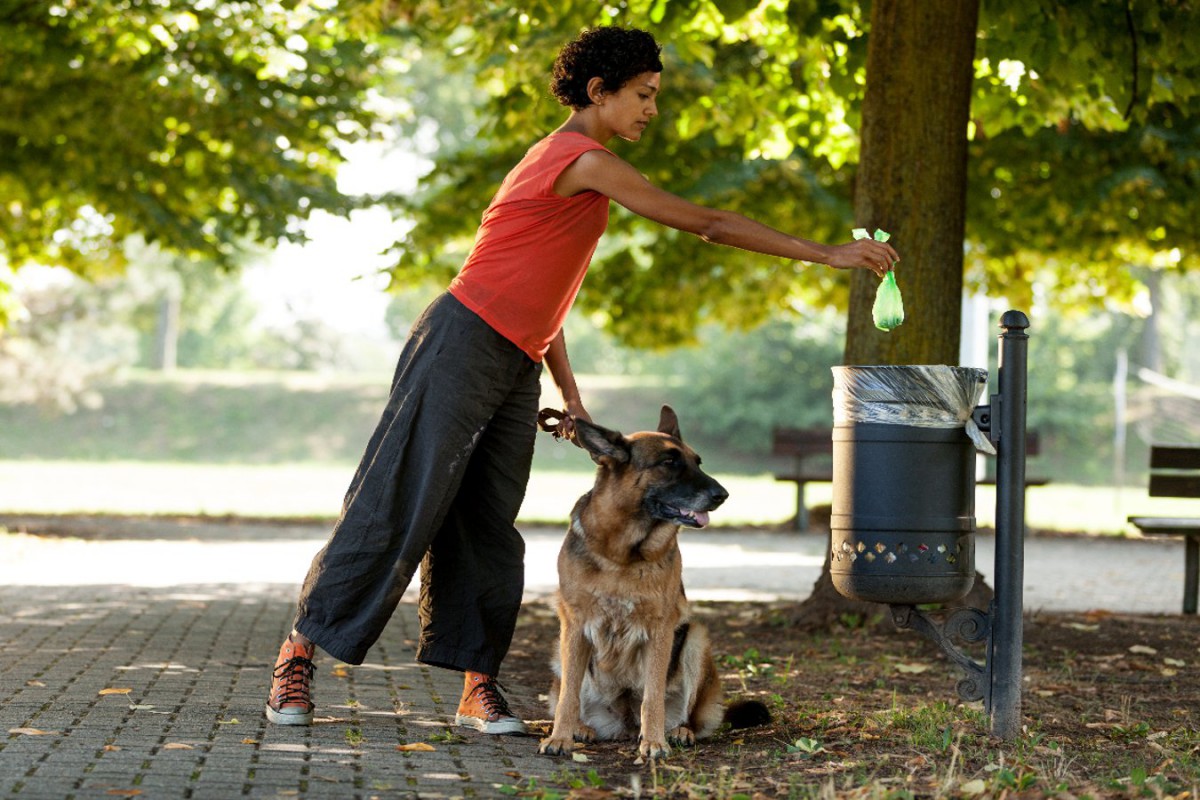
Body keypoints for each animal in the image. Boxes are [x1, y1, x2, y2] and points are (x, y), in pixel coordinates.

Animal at [537, 410, 763, 762]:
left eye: (697, 462)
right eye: (669, 463)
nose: (722, 495)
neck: (622, 555)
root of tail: (625, 723)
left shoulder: (660, 629)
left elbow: (652, 696)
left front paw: (654, 743)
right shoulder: (574, 626)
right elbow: (568, 697)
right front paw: (560, 737)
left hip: (695, 639)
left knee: (685, 714)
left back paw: (679, 731)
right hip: (559, 649)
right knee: (570, 694)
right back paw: (581, 727)